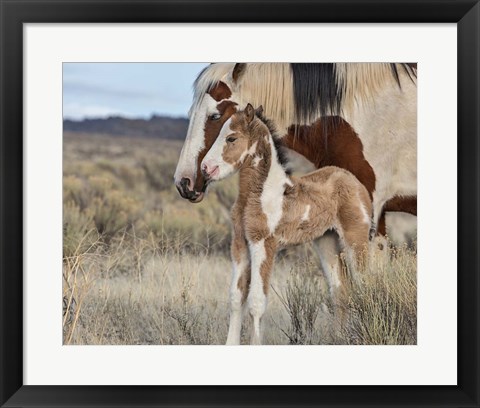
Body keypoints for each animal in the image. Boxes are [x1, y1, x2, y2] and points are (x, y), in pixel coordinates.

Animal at [201, 104, 374, 344]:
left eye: (231, 138)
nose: (205, 168)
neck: (260, 194)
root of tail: (353, 180)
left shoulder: (263, 244)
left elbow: (256, 302)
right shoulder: (239, 243)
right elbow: (236, 298)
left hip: (355, 239)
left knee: (366, 286)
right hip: (326, 240)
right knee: (339, 289)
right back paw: (337, 339)